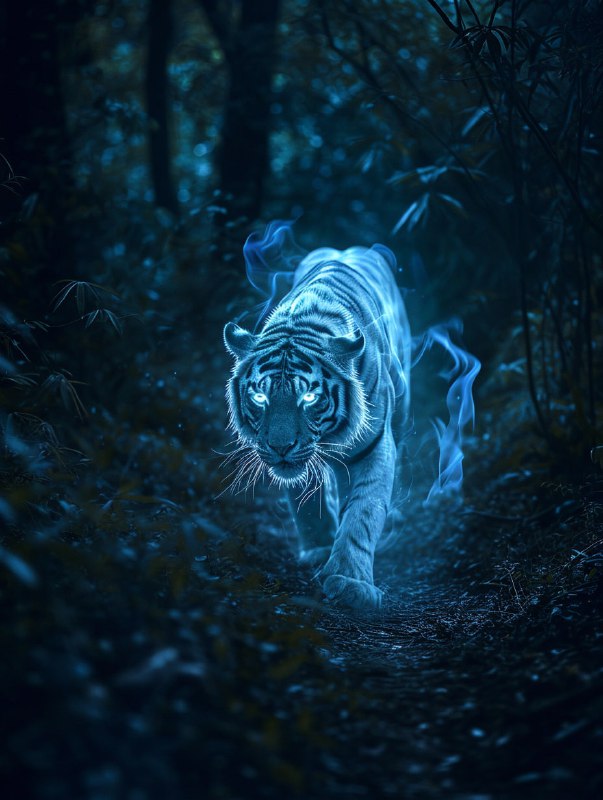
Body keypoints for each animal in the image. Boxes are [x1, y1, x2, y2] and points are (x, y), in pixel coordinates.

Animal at [223, 238, 411, 610]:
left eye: (308, 397)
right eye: (260, 397)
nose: (279, 447)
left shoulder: (375, 445)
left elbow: (363, 512)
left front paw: (351, 583)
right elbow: (308, 504)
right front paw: (320, 548)